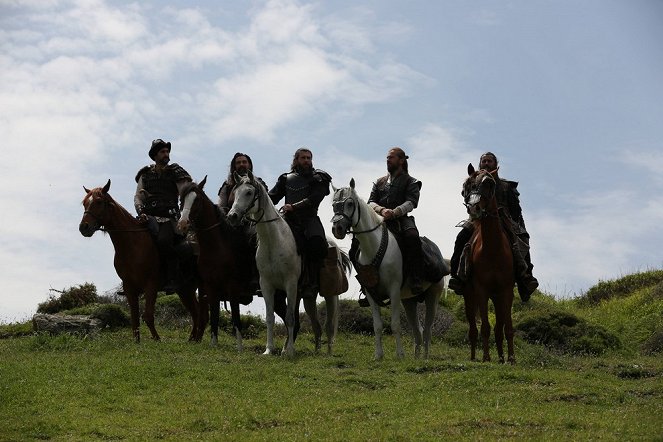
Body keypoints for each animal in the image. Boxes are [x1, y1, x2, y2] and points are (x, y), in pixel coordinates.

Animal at [78, 180, 202, 342]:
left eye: (99, 202)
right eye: (85, 203)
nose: (83, 227)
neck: (132, 243)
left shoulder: (151, 285)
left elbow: (148, 316)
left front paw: (157, 340)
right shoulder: (129, 288)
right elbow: (135, 319)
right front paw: (137, 342)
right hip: (185, 289)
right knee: (196, 311)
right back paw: (194, 340)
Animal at [228, 169, 344, 356]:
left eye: (249, 192)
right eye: (235, 192)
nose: (232, 216)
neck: (274, 241)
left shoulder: (290, 284)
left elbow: (290, 318)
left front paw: (289, 351)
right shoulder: (267, 286)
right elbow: (270, 318)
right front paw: (269, 349)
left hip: (330, 295)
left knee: (328, 325)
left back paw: (327, 352)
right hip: (307, 297)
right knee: (316, 325)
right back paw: (315, 350)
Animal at [332, 179, 446, 360]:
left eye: (349, 203)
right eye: (334, 205)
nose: (337, 229)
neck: (373, 247)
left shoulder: (393, 291)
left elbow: (395, 324)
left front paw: (399, 354)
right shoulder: (371, 294)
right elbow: (377, 325)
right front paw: (378, 355)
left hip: (433, 296)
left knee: (427, 328)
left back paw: (425, 356)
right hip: (409, 301)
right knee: (417, 329)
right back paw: (416, 356)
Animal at [462, 164, 520, 364]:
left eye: (489, 183)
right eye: (467, 185)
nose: (474, 207)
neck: (493, 250)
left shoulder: (506, 291)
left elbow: (507, 328)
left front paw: (511, 358)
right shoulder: (481, 291)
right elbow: (485, 327)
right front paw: (486, 357)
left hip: (497, 297)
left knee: (499, 328)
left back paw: (502, 358)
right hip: (469, 296)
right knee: (473, 328)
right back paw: (473, 357)